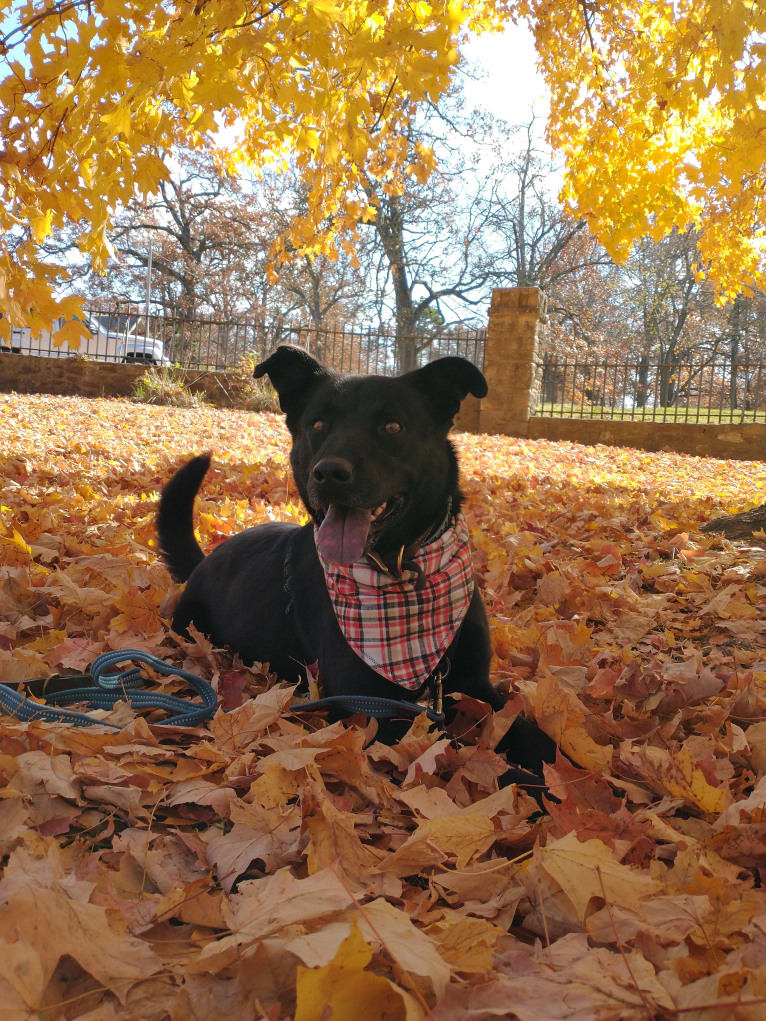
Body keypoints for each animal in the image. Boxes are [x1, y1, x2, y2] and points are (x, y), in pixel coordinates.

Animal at [159, 347, 559, 767]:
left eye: (392, 427)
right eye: (318, 424)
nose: (329, 473)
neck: (402, 567)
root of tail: (206, 558)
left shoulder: (475, 685)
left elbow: (533, 739)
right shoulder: (374, 708)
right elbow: (457, 751)